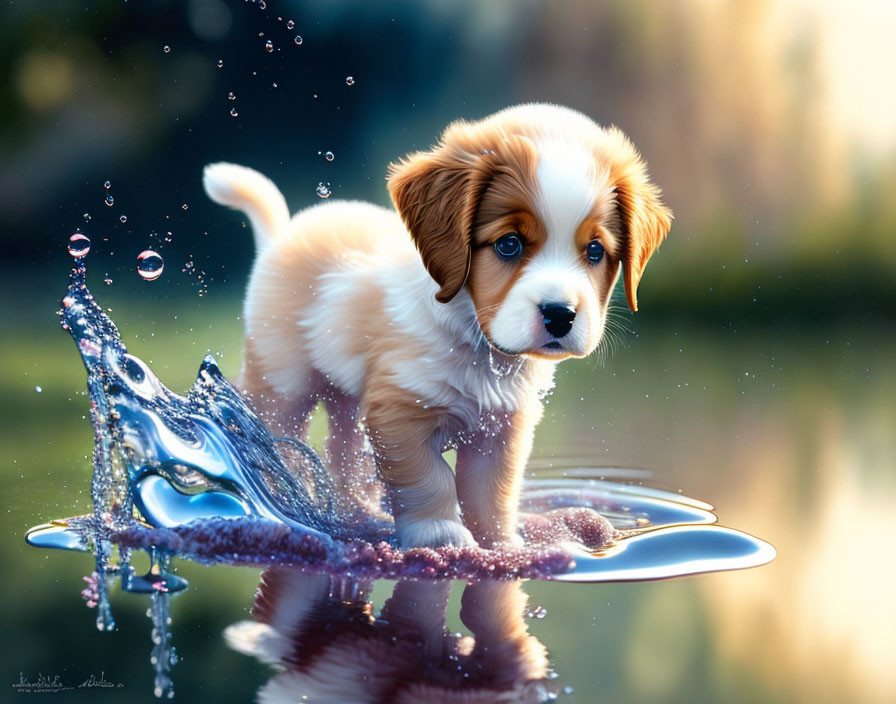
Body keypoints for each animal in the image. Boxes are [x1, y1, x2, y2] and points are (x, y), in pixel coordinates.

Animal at [201, 102, 664, 548]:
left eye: (595, 251)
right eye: (509, 245)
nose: (560, 314)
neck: (479, 345)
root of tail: (281, 236)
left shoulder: (502, 427)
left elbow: (490, 492)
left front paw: (502, 544)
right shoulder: (399, 412)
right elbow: (427, 478)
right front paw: (440, 535)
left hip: (345, 396)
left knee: (342, 451)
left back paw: (358, 513)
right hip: (282, 382)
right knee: (279, 436)